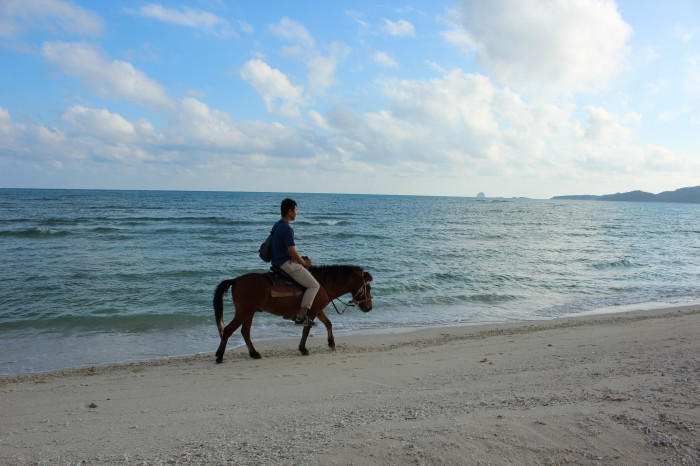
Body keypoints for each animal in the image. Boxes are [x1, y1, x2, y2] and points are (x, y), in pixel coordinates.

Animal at [213, 266, 374, 360]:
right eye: (369, 287)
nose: (369, 307)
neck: (322, 284)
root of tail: (235, 280)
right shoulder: (313, 311)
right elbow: (306, 330)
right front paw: (303, 349)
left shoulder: (317, 309)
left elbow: (328, 323)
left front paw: (331, 343)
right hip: (244, 312)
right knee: (228, 330)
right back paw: (220, 355)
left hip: (249, 312)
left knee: (245, 332)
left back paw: (254, 353)